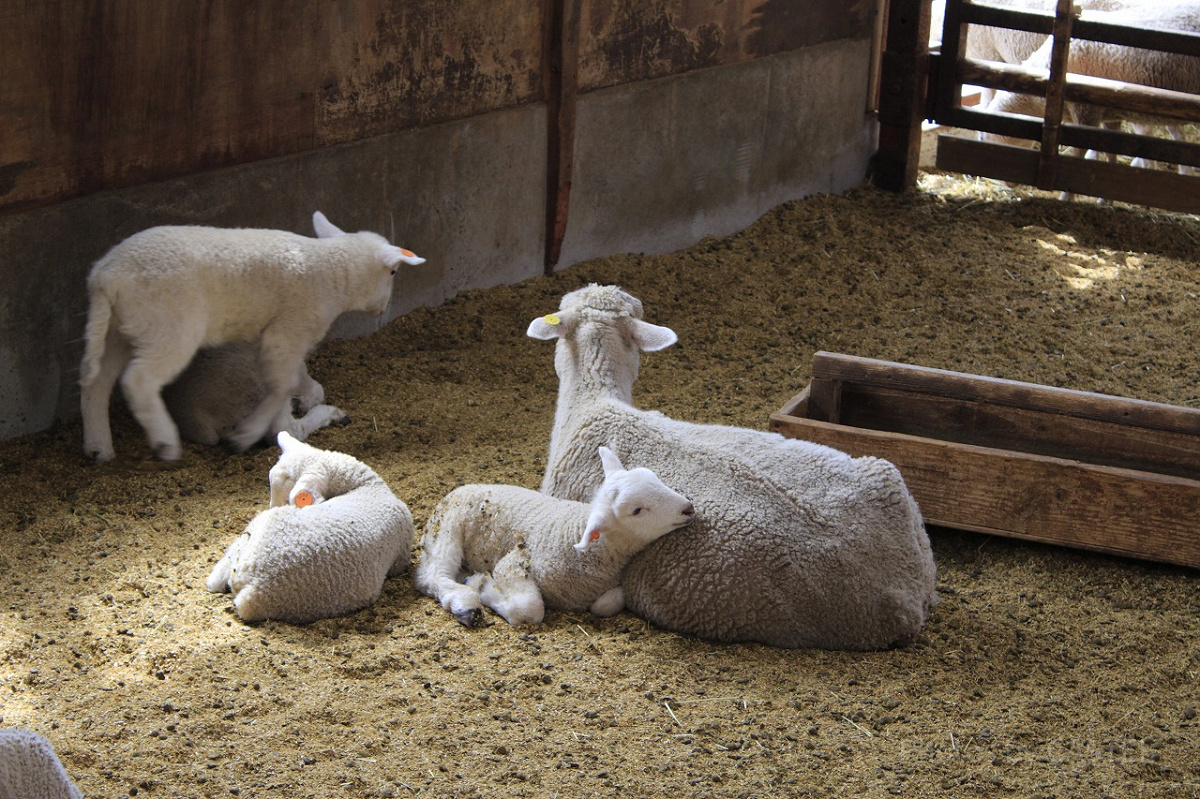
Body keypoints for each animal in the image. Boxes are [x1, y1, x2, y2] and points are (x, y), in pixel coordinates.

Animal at [412, 443, 696, 623]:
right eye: (637, 510)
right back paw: (464, 602)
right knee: (431, 576)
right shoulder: (513, 564)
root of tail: (462, 487)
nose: (689, 508)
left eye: (654, 477)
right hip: (447, 528)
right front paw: (483, 587)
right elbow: (529, 609)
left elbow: (609, 603)